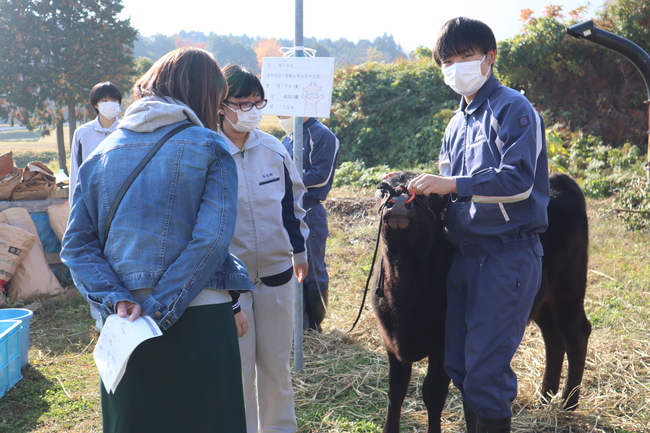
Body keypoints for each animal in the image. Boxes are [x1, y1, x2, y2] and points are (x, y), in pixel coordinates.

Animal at [372, 172, 588, 432]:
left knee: (576, 334)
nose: (400, 202)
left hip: (569, 287)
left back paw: (569, 402)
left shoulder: (444, 345)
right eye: (383, 189)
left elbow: (433, 393)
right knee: (553, 336)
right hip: (540, 297)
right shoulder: (391, 341)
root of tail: (559, 179)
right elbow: (395, 391)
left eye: (430, 194)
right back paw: (546, 394)